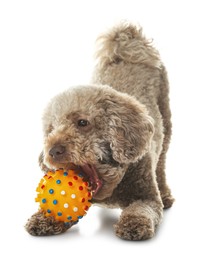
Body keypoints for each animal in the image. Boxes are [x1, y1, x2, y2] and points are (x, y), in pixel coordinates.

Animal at [25, 22, 175, 240]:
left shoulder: (147, 198)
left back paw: (165, 194)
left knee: (162, 161)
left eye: (82, 122)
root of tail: (128, 43)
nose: (53, 151)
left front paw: (133, 224)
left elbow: (142, 210)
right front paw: (45, 218)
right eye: (51, 129)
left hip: (166, 116)